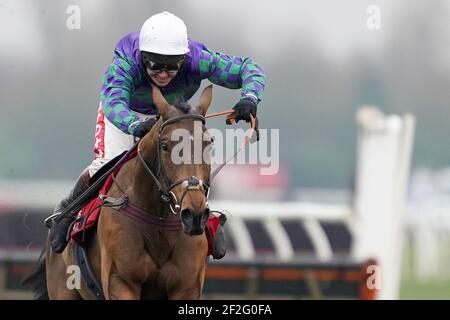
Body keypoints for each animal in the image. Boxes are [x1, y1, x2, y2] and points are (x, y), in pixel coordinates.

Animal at [24, 85, 214, 300]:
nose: (195, 213)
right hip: (63, 289)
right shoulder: (121, 281)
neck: (158, 222)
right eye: (165, 146)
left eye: (209, 144)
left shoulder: (186, 287)